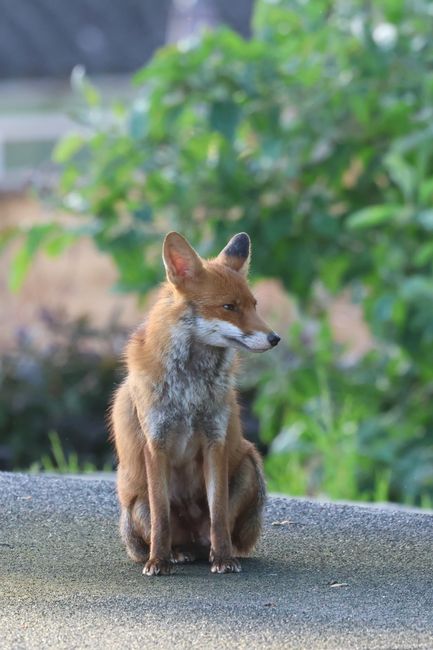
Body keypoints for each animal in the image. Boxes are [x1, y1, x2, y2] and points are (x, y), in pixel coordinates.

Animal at [111, 231, 280, 576]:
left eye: (254, 305)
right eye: (229, 307)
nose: (275, 338)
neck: (189, 389)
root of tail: (192, 541)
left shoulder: (215, 440)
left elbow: (218, 514)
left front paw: (224, 559)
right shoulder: (156, 442)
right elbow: (161, 518)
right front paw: (158, 561)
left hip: (249, 464)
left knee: (217, 531)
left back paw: (211, 553)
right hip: (135, 500)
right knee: (166, 531)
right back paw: (174, 554)